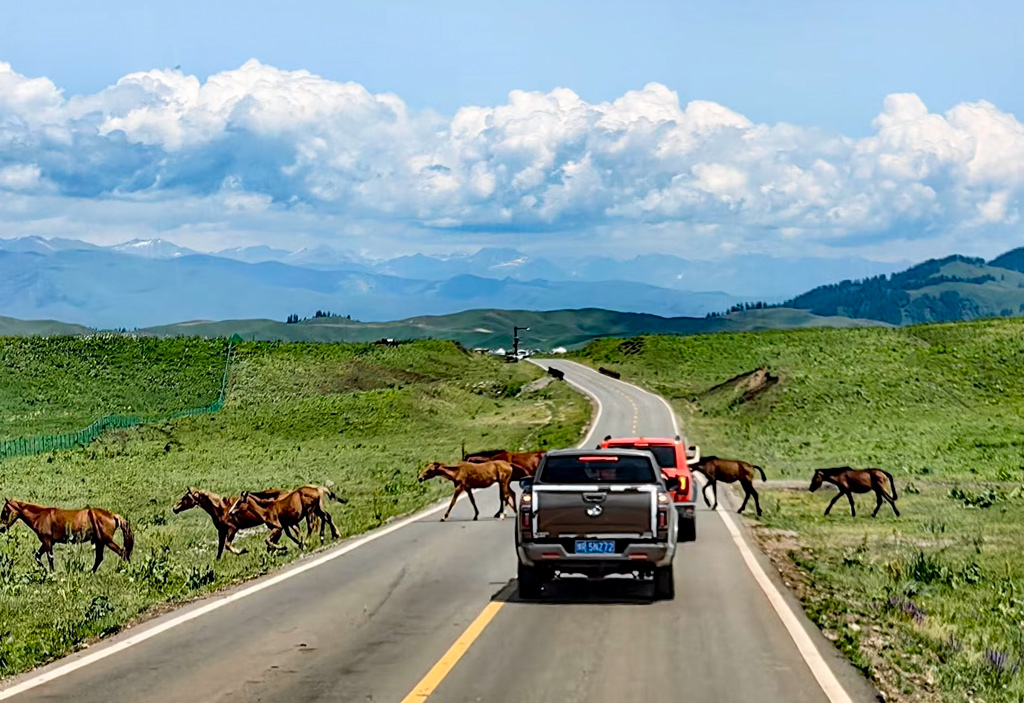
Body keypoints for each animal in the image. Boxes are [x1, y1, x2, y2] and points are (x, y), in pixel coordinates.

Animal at [0, 501, 134, 573]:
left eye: (5, 511)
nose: (1, 529)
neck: (41, 516)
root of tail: (113, 515)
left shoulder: (47, 542)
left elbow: (49, 558)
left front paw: (50, 573)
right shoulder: (47, 543)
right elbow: (38, 556)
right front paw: (46, 571)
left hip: (106, 541)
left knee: (122, 552)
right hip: (99, 541)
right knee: (99, 558)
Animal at [173, 489, 319, 560]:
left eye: (185, 497)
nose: (174, 508)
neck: (220, 508)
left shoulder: (232, 528)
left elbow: (227, 545)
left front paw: (242, 551)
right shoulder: (222, 531)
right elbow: (220, 549)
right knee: (294, 531)